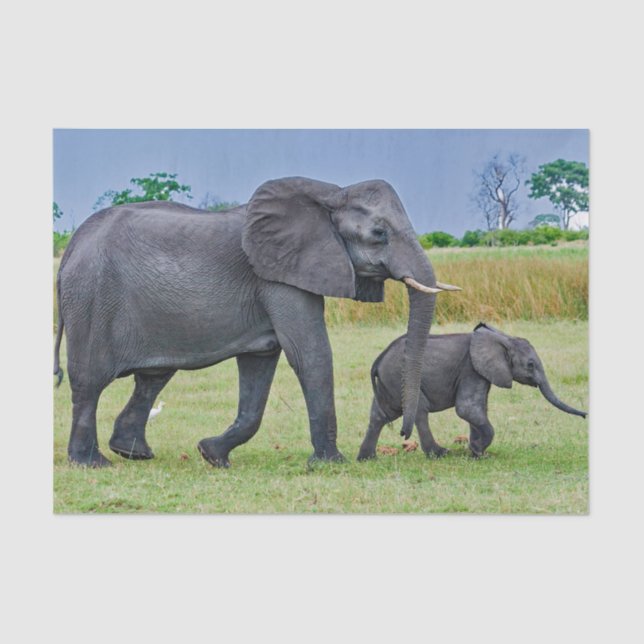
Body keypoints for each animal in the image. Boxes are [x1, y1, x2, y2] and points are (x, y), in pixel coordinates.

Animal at [54, 176, 459, 468]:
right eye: (379, 234)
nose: (403, 434)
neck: (331, 193)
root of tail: (72, 245)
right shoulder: (278, 276)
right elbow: (309, 353)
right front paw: (330, 464)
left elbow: (260, 365)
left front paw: (211, 455)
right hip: (91, 299)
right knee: (89, 381)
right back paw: (92, 464)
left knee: (152, 377)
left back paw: (134, 454)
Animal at [357, 323, 587, 460]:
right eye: (530, 365)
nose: (585, 415)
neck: (502, 339)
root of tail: (378, 360)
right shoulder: (471, 369)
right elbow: (467, 409)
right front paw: (478, 452)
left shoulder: (481, 372)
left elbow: (477, 409)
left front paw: (476, 452)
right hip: (400, 378)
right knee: (420, 411)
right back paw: (440, 453)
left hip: (389, 384)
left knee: (379, 415)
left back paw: (367, 458)